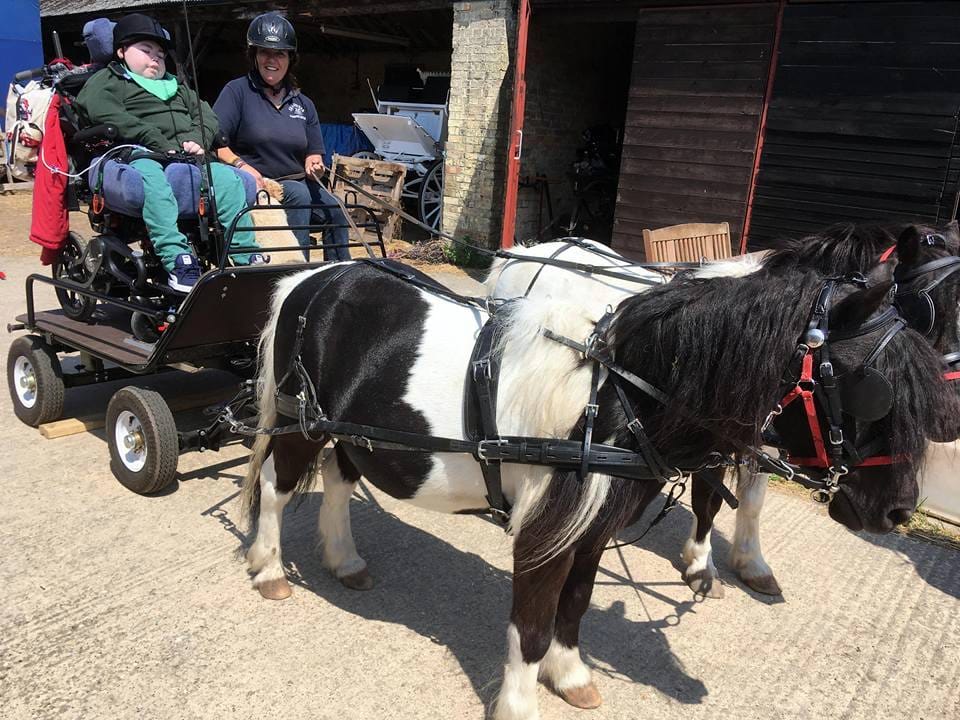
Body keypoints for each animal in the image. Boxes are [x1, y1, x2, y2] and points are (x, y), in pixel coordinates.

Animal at [487, 222, 960, 599]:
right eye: (940, 304)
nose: (950, 416)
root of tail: (531, 250)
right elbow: (709, 501)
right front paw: (700, 563)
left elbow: (751, 502)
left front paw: (751, 562)